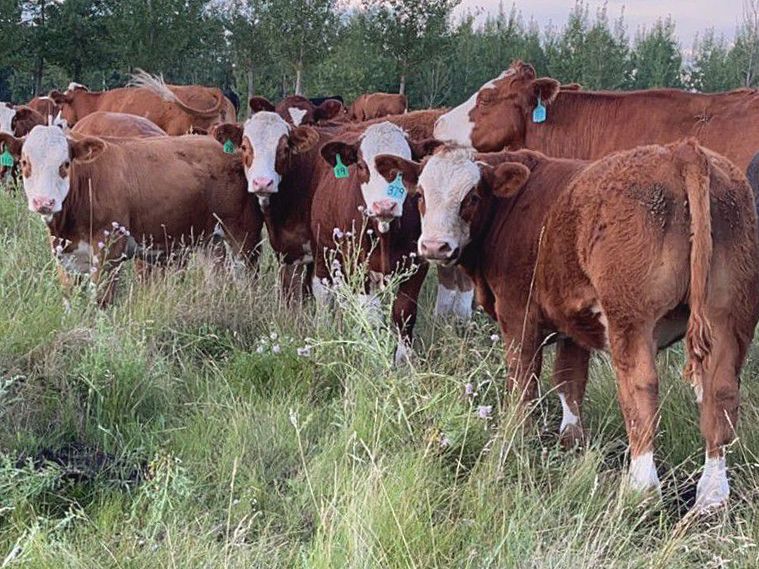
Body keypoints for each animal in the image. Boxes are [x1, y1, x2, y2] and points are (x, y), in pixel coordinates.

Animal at [0, 126, 263, 306]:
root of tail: (232, 152)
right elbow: (70, 299)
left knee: (247, 280)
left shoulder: (109, 248)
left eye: (65, 164)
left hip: (244, 236)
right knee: (217, 277)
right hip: (209, 241)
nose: (44, 202)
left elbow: (101, 299)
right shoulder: (64, 255)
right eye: (25, 163)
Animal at [374, 141, 759, 511]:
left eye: (471, 197)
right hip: (729, 316)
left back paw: (641, 490)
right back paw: (711, 496)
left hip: (631, 319)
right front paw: (571, 441)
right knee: (721, 393)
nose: (434, 246)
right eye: (420, 195)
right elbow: (569, 381)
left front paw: (516, 438)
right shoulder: (574, 321)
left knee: (640, 390)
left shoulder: (519, 316)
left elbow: (523, 382)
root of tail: (682, 151)